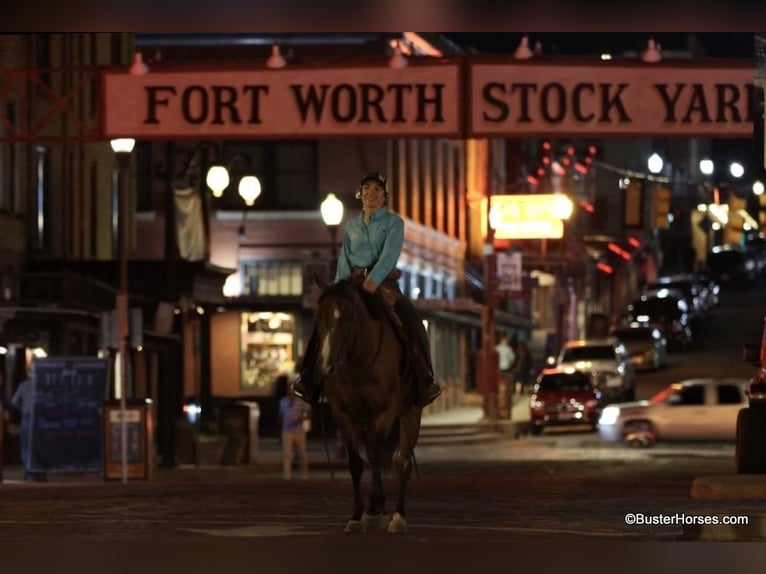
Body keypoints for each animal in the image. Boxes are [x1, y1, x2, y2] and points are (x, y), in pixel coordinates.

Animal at [312, 274, 424, 536]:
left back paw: (397, 517)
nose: (325, 367)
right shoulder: (342, 413)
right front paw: (356, 516)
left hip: (410, 414)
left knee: (402, 462)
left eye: (348, 316)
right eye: (319, 316)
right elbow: (356, 462)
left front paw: (375, 509)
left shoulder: (386, 411)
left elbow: (375, 455)